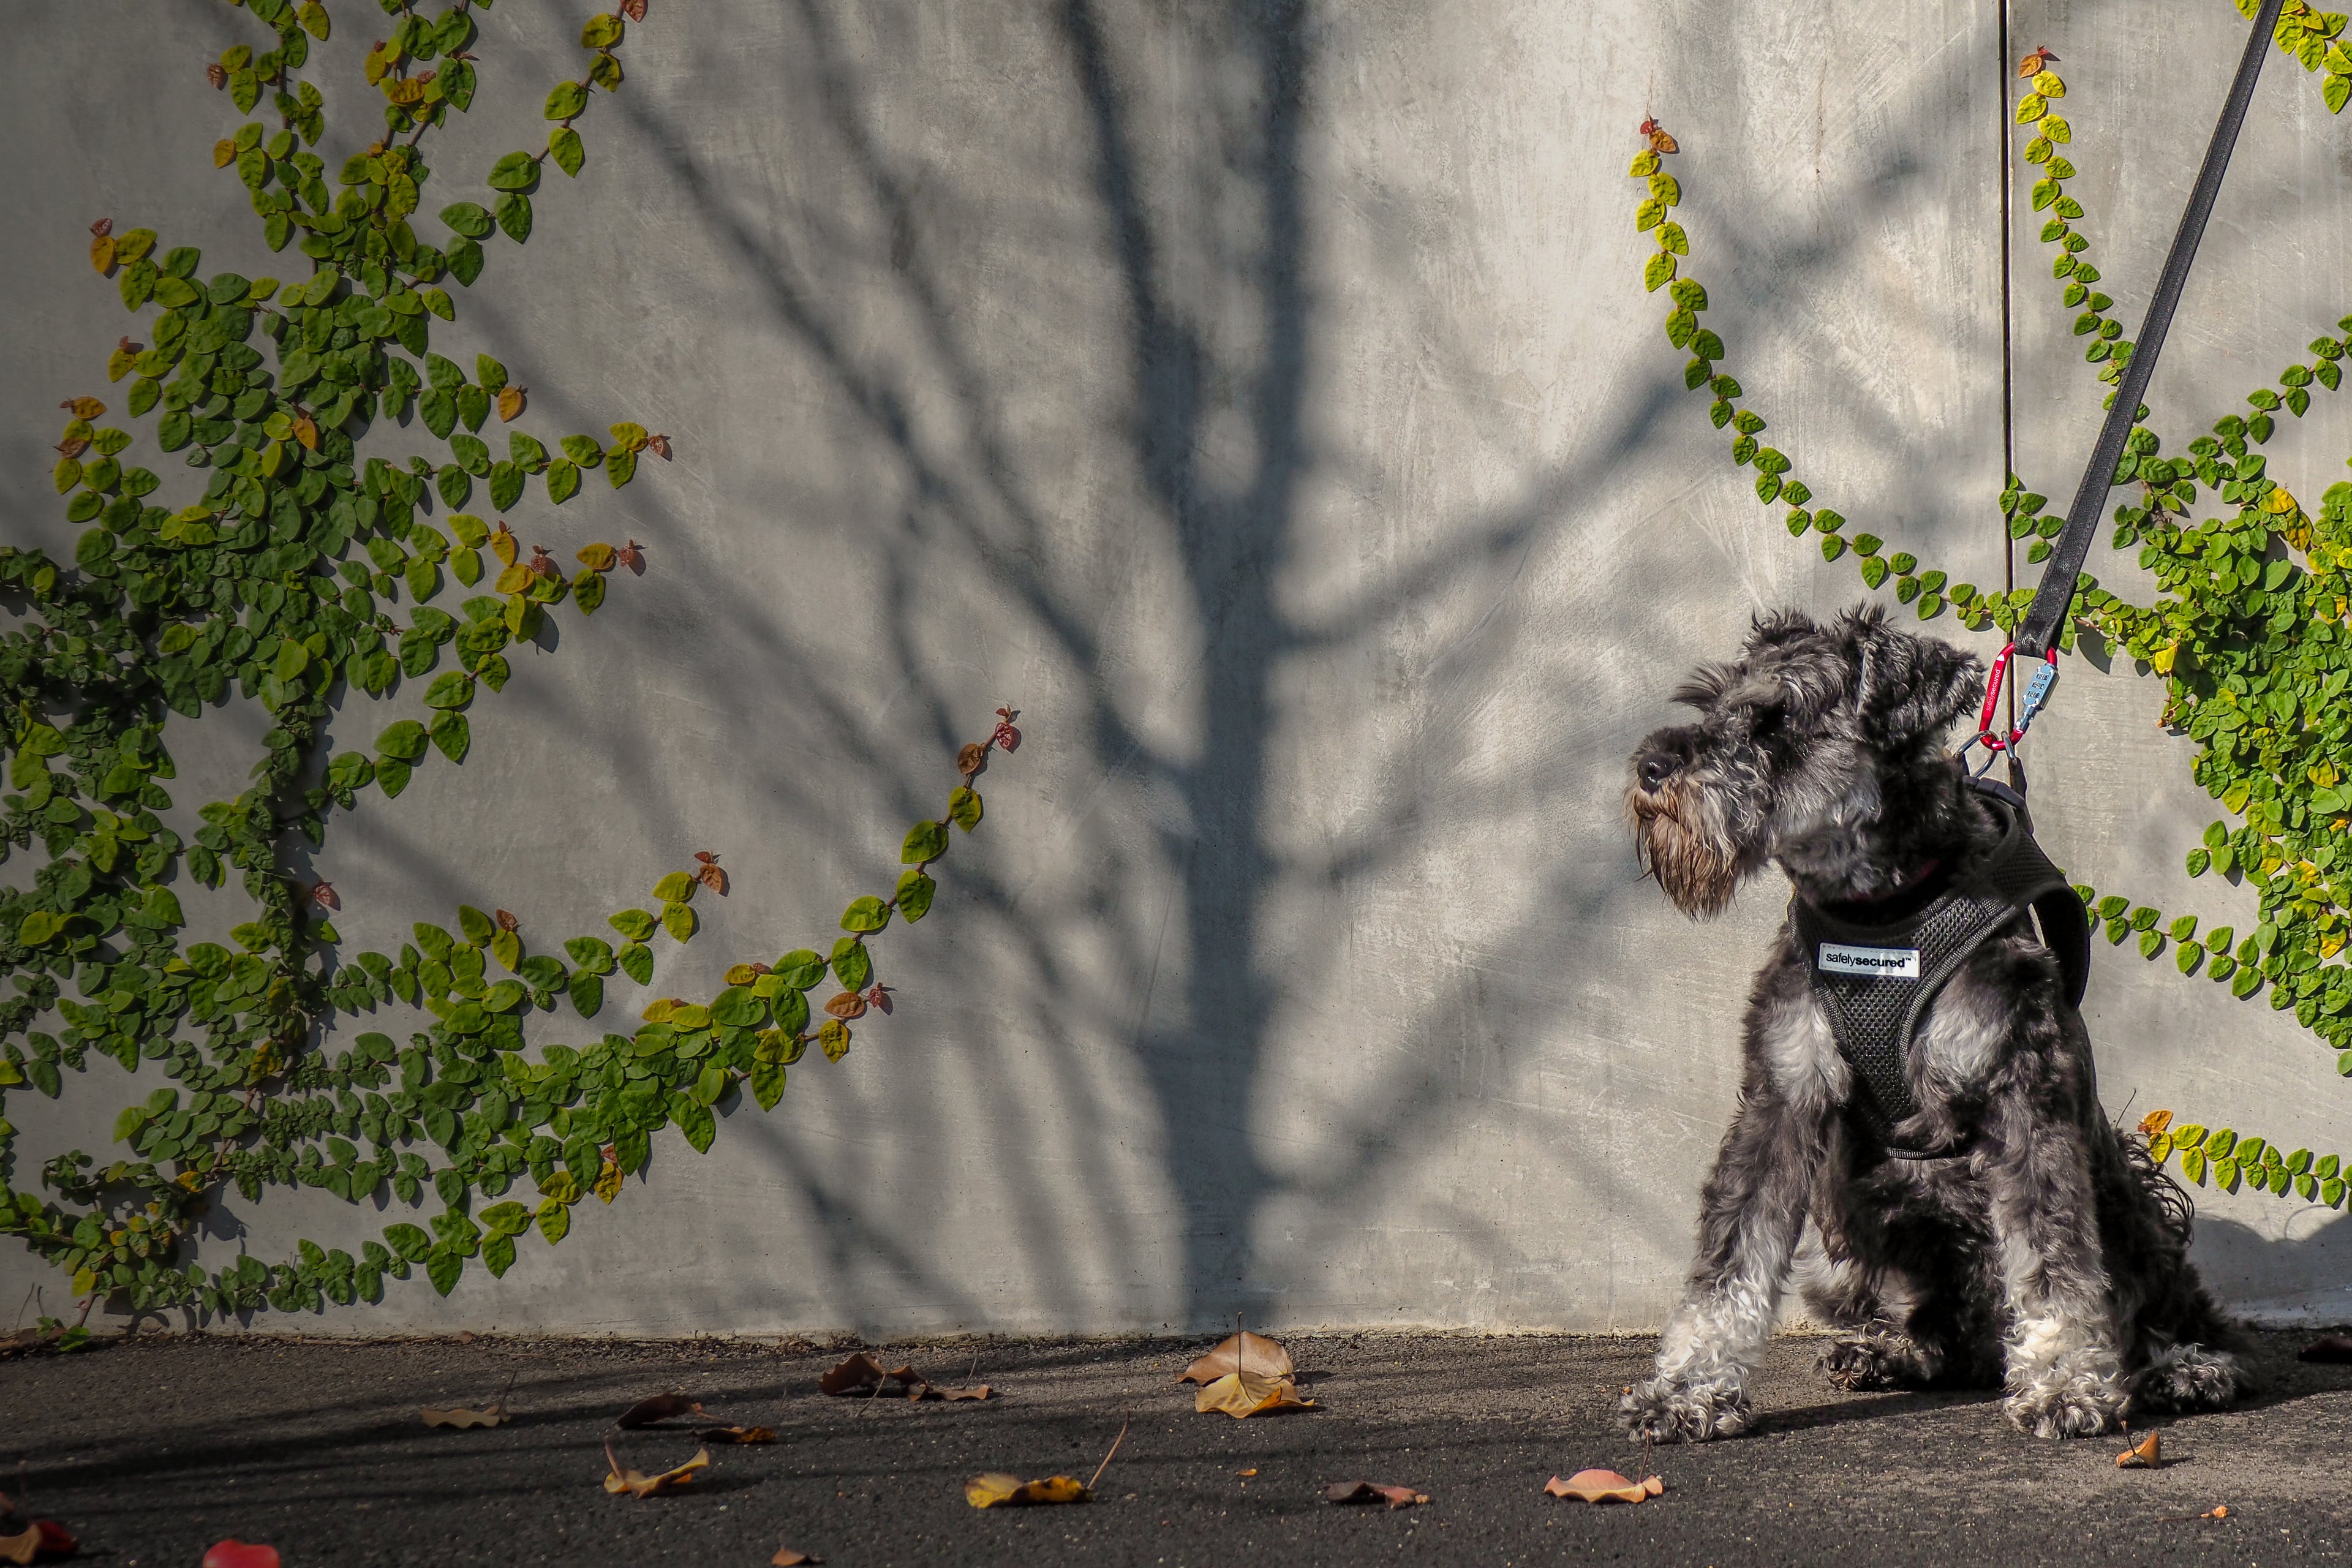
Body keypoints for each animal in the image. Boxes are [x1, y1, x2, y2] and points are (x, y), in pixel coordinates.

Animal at [1618, 606, 2239, 1438]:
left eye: (1777, 720)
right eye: (1712, 702)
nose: (1653, 768)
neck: (1881, 913)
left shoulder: (2024, 1093)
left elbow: (2056, 1259)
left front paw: (2066, 1385)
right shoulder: (1781, 1096)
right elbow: (1730, 1255)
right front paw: (1686, 1390)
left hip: (2123, 1201)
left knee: (2161, 1300)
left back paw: (2183, 1367)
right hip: (1843, 1223)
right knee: (1940, 1332)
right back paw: (1889, 1350)